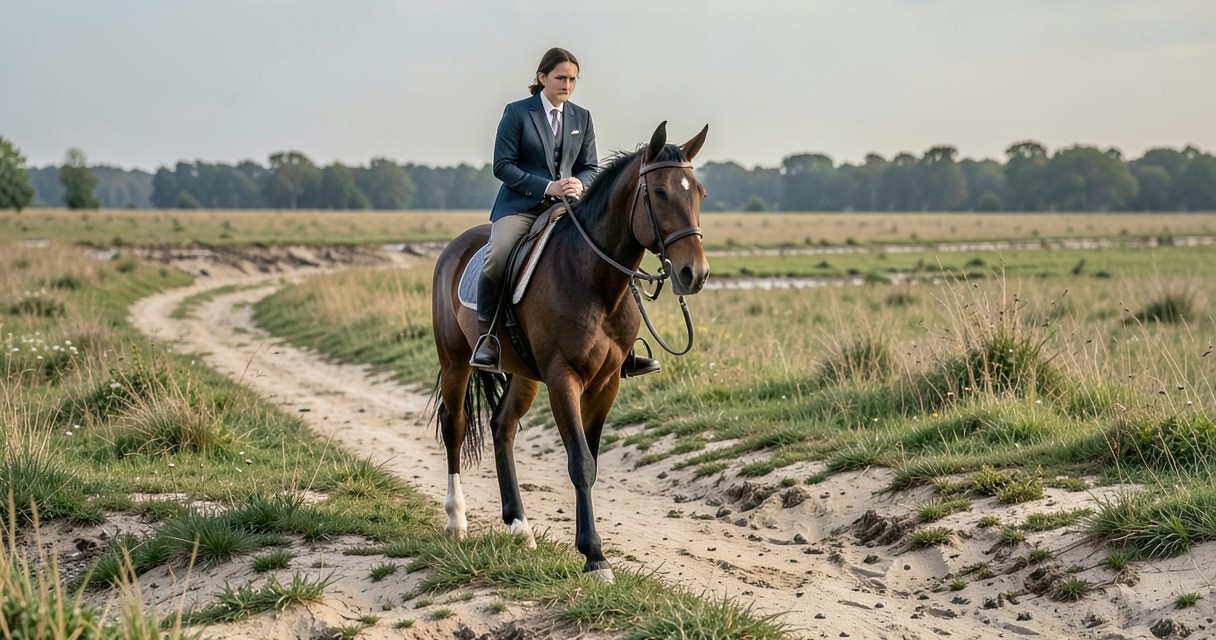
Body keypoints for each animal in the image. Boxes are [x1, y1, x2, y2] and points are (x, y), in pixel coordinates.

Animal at [430, 122, 709, 582]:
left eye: (699, 192)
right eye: (660, 192)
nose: (695, 274)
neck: (594, 280)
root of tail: (456, 246)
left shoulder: (607, 382)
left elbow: (591, 460)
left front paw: (591, 552)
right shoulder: (564, 378)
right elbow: (580, 463)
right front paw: (594, 556)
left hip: (523, 373)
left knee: (502, 427)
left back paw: (519, 526)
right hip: (455, 361)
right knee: (454, 426)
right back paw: (457, 520)